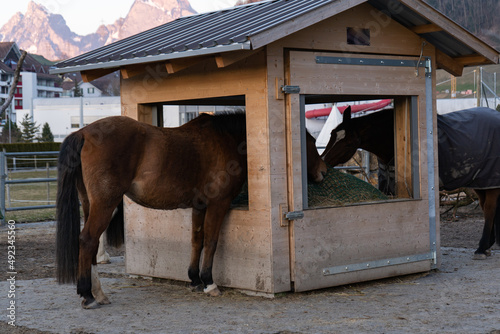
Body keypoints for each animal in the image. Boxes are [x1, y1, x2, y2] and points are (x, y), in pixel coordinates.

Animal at [56, 112, 326, 308]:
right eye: (311, 142)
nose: (322, 172)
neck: (225, 139)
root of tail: (83, 132)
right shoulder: (218, 204)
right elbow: (212, 241)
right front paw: (209, 282)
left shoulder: (200, 206)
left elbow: (197, 240)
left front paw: (194, 279)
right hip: (105, 203)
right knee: (88, 240)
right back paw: (88, 295)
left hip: (91, 204)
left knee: (91, 244)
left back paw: (98, 293)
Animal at [322, 105, 500, 260]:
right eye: (331, 134)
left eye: (348, 143)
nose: (322, 163)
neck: (391, 138)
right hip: (480, 182)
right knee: (485, 208)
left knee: (489, 209)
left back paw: (481, 248)